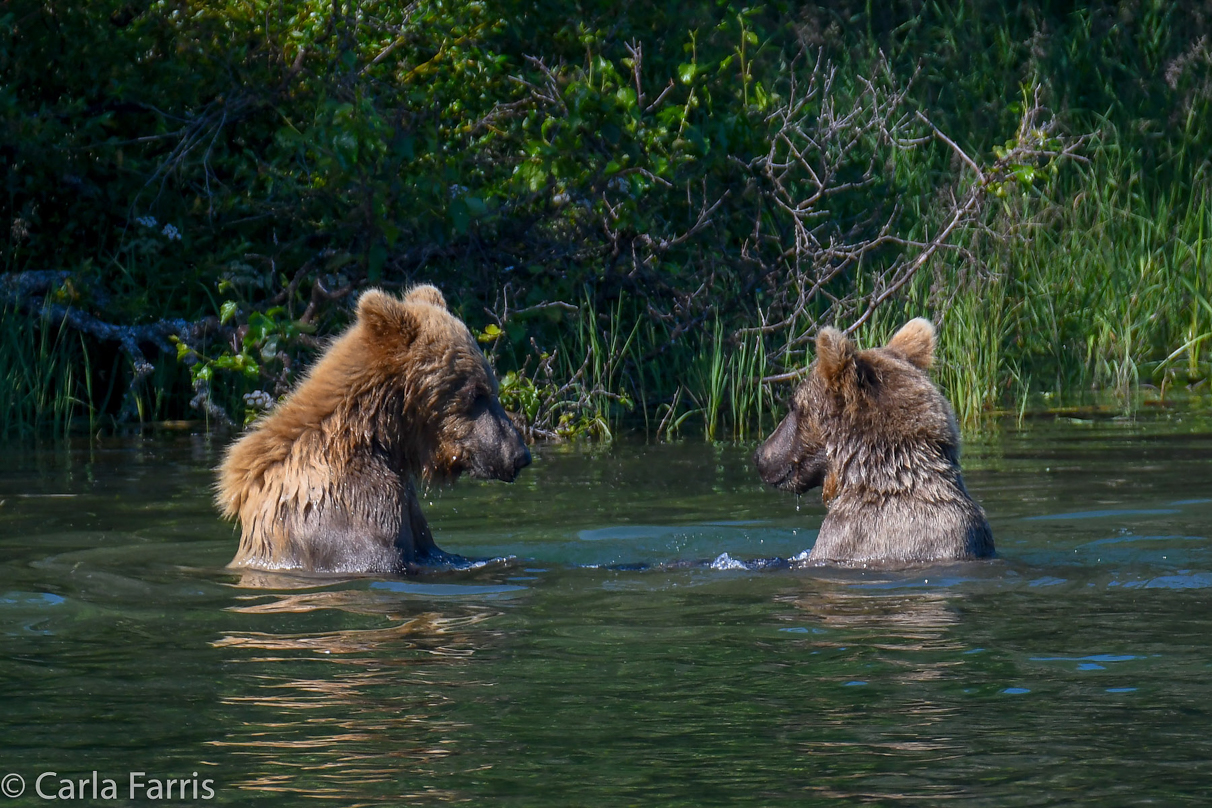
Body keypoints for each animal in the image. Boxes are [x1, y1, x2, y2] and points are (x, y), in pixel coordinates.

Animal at [215, 284, 528, 574]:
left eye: (491, 388)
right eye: (476, 393)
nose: (520, 455)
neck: (376, 434)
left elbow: (434, 550)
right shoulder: (351, 506)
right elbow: (378, 558)